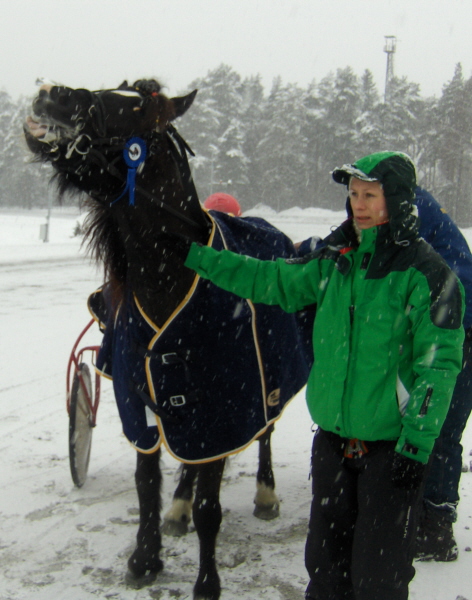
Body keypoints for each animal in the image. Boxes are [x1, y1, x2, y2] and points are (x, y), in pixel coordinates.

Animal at [23, 79, 310, 600]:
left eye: (140, 109)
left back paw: (265, 493)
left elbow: (211, 508)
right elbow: (146, 481)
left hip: (265, 389)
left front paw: (206, 581)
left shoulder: (226, 410)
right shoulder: (139, 400)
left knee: (265, 436)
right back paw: (179, 505)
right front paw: (146, 557)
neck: (170, 283)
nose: (53, 93)